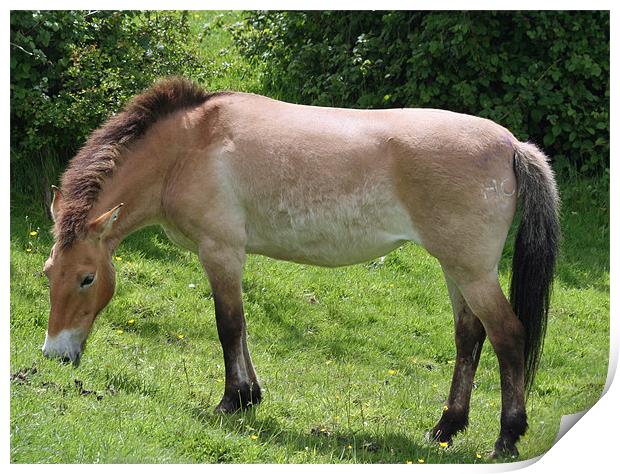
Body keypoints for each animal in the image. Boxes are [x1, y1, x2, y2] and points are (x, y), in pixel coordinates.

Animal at [41, 76, 560, 458]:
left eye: (87, 278)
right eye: (48, 273)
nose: (55, 354)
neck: (186, 148)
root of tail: (512, 144)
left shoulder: (220, 250)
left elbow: (228, 327)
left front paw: (231, 400)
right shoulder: (232, 255)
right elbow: (243, 329)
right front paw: (250, 396)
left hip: (472, 272)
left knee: (507, 336)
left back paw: (507, 438)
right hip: (456, 270)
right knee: (469, 337)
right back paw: (446, 428)